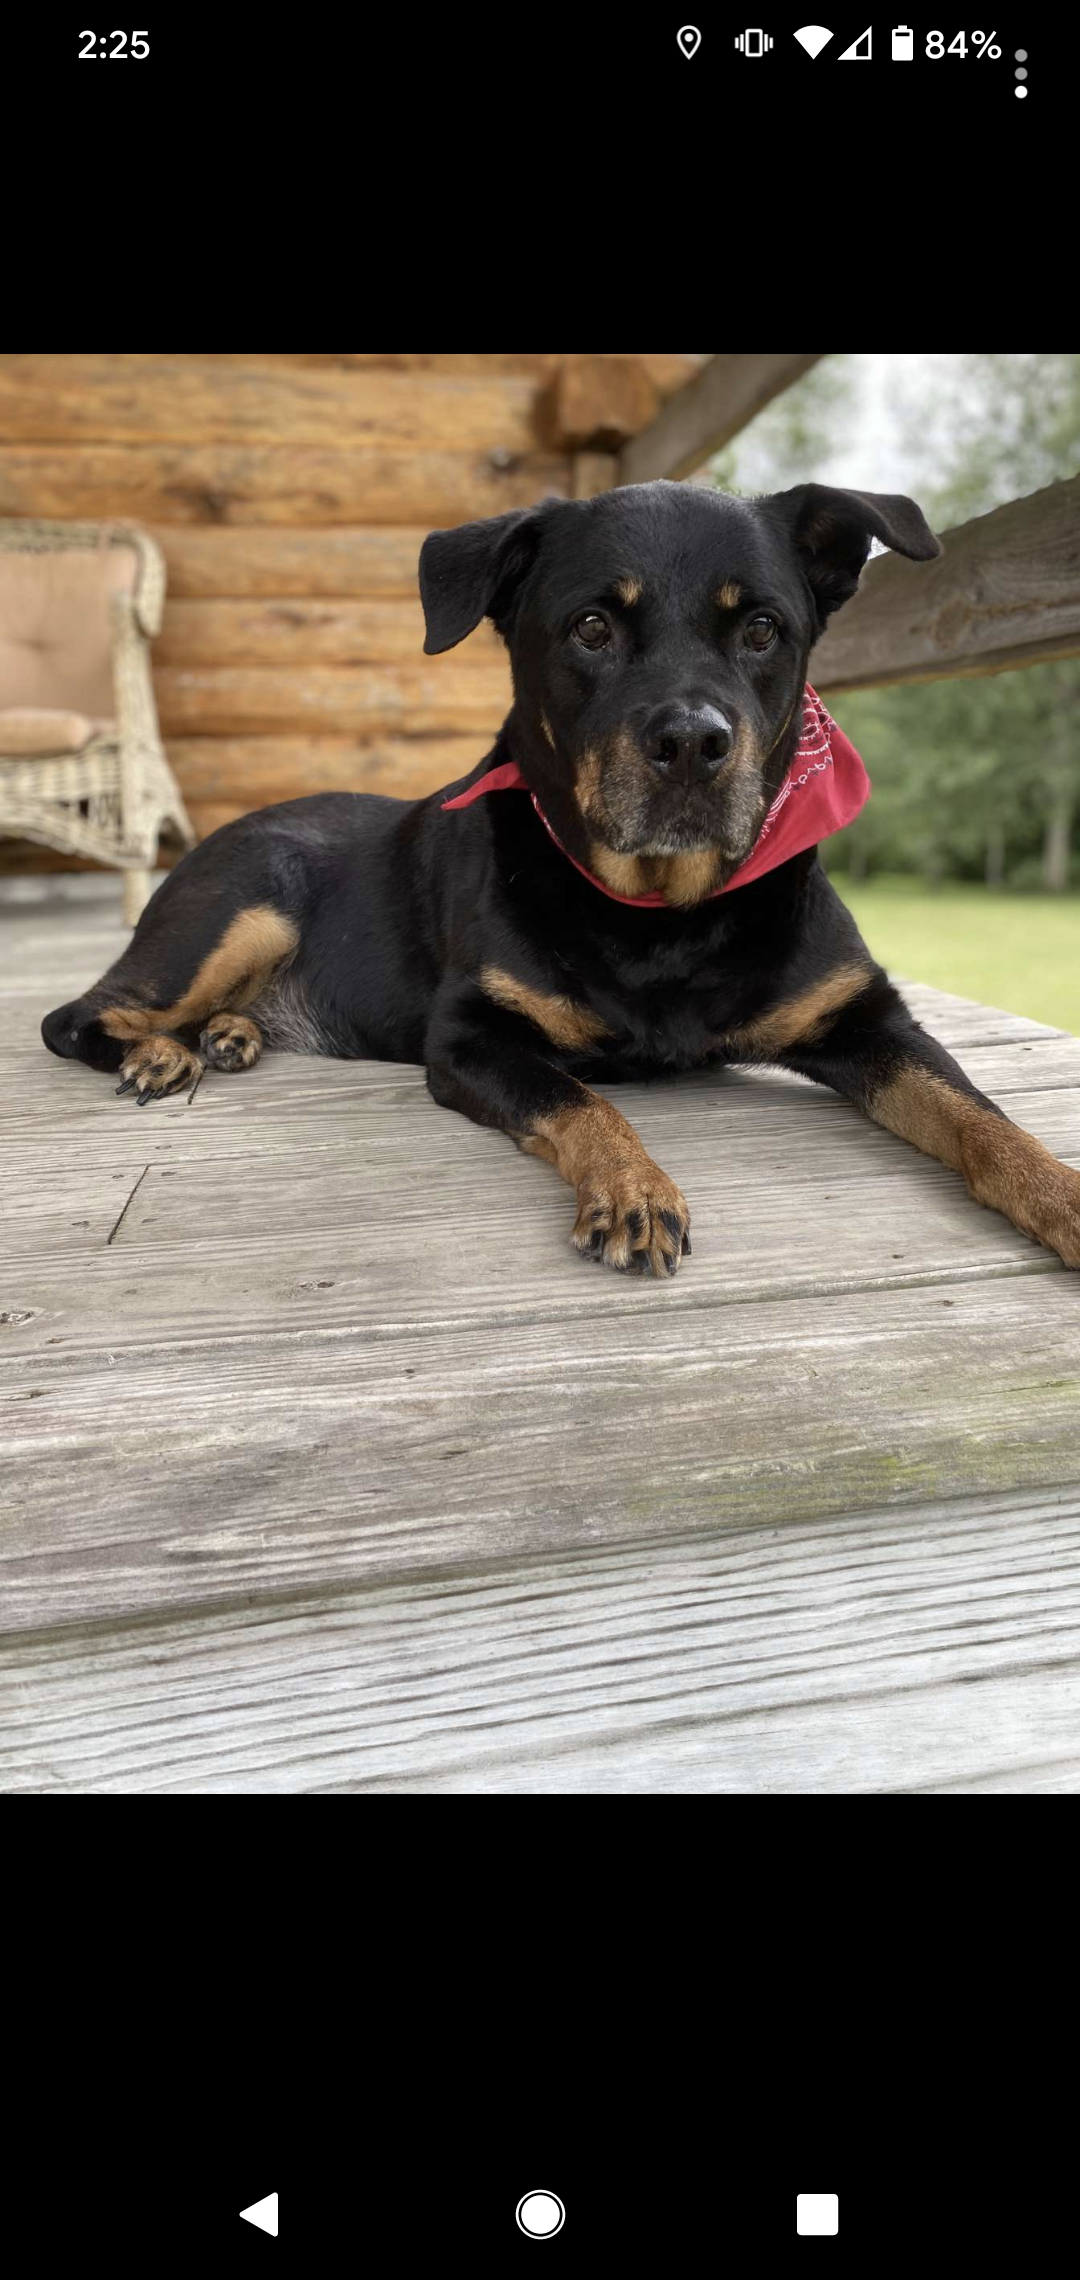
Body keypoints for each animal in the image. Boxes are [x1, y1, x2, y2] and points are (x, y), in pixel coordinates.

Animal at [42, 478, 1080, 1276]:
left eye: (762, 630)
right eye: (590, 628)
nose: (694, 742)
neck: (663, 915)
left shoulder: (866, 1018)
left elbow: (978, 1113)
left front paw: (1059, 1193)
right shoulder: (473, 1035)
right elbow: (582, 1099)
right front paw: (634, 1186)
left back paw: (229, 1036)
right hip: (246, 903)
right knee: (81, 1013)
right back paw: (162, 1050)